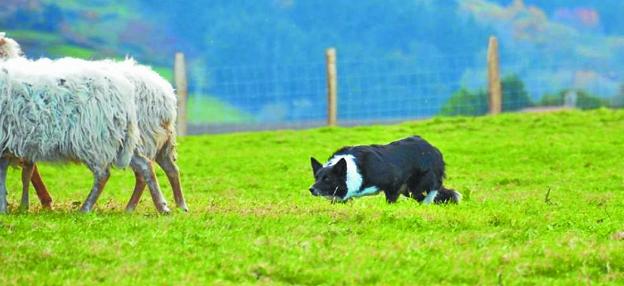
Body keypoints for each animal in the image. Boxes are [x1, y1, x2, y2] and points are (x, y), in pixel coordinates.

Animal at [310, 136, 460, 203]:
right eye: (316, 178)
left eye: (327, 179)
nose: (311, 189)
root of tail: (432, 148)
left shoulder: (393, 185)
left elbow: (390, 201)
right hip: (410, 191)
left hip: (417, 186)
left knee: (432, 192)